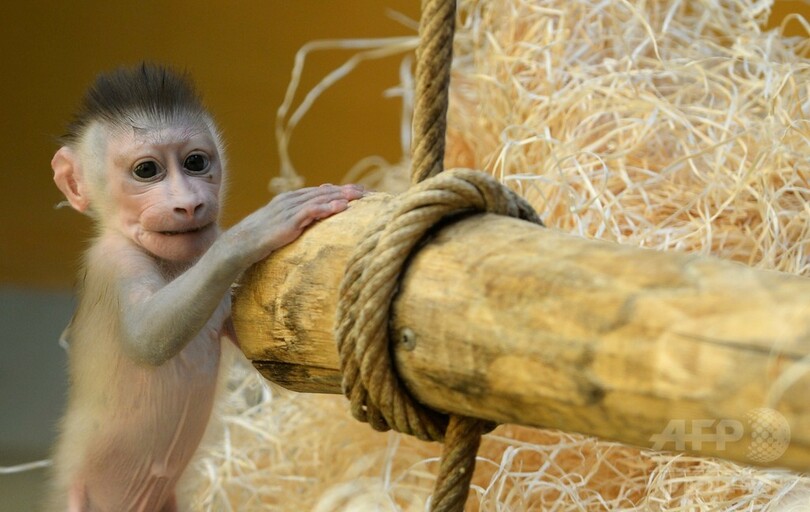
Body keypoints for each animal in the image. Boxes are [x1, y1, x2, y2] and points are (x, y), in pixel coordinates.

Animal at [45, 62, 360, 510]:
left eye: (195, 162)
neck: (175, 265)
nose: (189, 204)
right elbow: (147, 337)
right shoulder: (114, 262)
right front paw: (250, 233)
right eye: (147, 171)